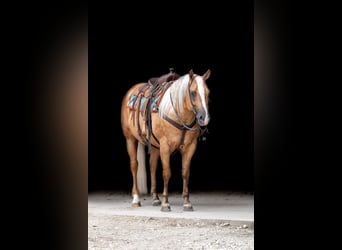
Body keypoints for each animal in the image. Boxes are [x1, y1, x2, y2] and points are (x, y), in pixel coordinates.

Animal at [121, 68, 210, 211]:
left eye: (208, 92)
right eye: (193, 92)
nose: (204, 118)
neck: (178, 113)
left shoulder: (190, 147)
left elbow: (185, 172)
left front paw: (187, 202)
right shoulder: (165, 146)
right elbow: (167, 173)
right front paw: (165, 203)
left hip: (154, 145)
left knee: (152, 166)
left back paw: (155, 198)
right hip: (130, 139)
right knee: (134, 165)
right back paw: (136, 199)